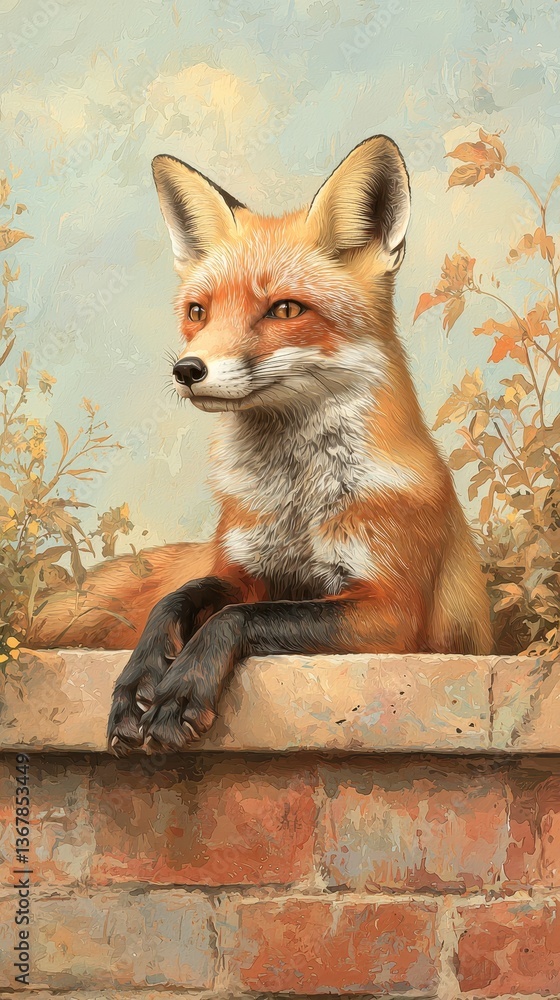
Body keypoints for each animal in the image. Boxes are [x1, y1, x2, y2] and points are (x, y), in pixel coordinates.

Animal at [30, 135, 493, 754]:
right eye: (197, 312)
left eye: (285, 309)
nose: (186, 370)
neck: (294, 502)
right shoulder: (243, 571)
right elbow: (179, 599)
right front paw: (139, 679)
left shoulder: (393, 612)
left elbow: (242, 619)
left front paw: (181, 692)